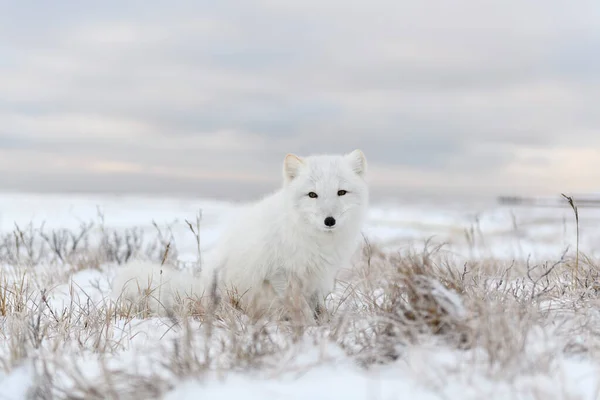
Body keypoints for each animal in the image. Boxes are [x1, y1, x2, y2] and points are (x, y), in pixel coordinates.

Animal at [110, 149, 368, 322]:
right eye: (312, 195)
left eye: (341, 192)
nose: (329, 221)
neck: (312, 237)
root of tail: (201, 288)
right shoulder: (280, 273)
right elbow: (301, 308)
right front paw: (308, 327)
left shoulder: (318, 277)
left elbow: (317, 306)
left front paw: (323, 323)